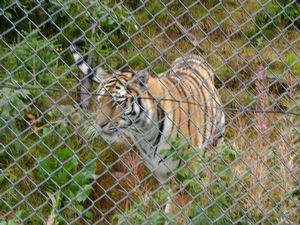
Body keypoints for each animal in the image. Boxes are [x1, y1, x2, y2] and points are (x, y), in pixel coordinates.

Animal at [71, 39, 225, 185]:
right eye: (99, 101)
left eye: (118, 103)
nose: (99, 125)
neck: (145, 132)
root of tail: (193, 56)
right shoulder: (159, 171)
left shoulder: (188, 169)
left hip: (219, 129)